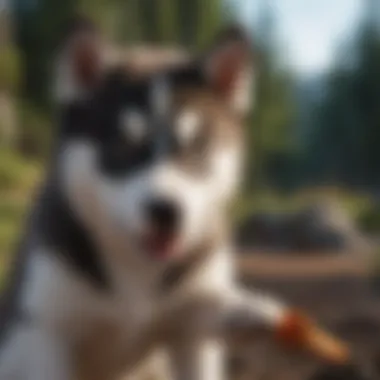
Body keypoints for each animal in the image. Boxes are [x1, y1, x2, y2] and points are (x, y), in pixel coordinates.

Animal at [0, 19, 372, 380]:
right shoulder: (46, 331)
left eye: (196, 146)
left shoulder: (193, 328)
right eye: (123, 145)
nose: (166, 211)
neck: (137, 275)